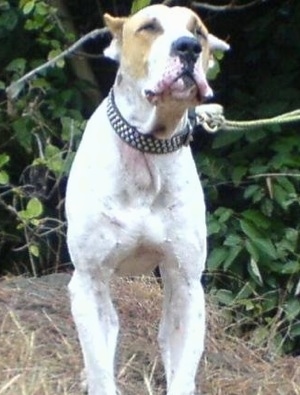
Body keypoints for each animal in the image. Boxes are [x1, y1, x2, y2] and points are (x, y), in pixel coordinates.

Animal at [65, 3, 229, 395]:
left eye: (198, 31)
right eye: (149, 27)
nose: (188, 47)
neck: (148, 150)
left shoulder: (186, 285)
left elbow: (182, 371)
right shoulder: (89, 281)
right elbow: (100, 370)